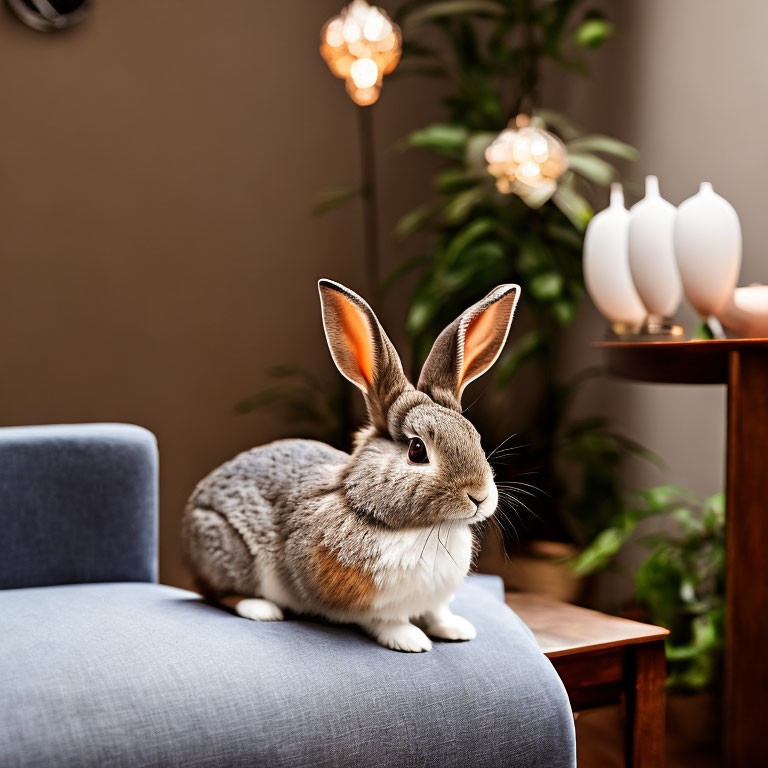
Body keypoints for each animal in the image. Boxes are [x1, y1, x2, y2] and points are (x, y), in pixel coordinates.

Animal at [184, 280, 520, 652]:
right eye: (417, 450)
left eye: (475, 436)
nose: (479, 496)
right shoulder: (363, 601)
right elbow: (385, 620)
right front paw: (411, 640)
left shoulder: (434, 600)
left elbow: (437, 613)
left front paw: (457, 630)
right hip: (227, 548)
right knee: (219, 592)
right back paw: (261, 609)